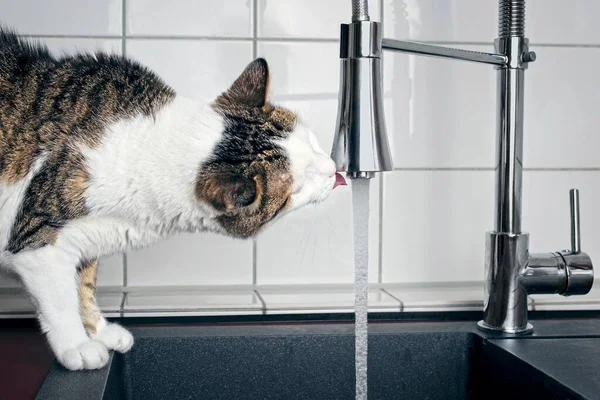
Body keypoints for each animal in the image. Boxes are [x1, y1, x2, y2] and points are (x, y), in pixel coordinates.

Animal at [0, 28, 346, 370]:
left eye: (311, 141)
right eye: (299, 186)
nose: (334, 169)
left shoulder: (85, 240)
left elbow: (82, 286)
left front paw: (100, 331)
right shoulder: (38, 239)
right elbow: (61, 299)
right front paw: (77, 346)